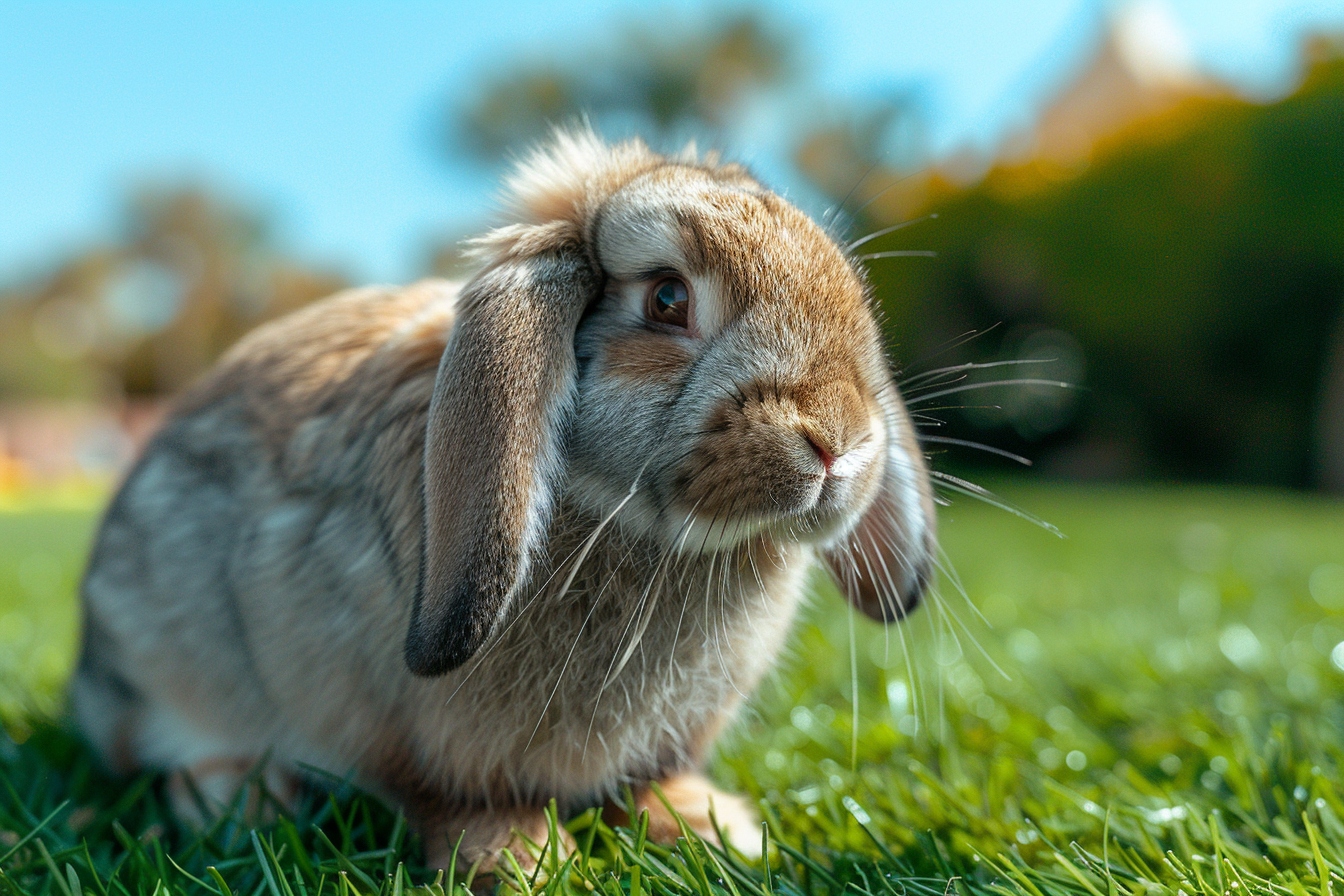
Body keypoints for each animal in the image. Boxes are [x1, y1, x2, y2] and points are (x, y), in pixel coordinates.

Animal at [71, 130, 937, 874]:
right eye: (667, 299)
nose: (839, 440)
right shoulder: (404, 734)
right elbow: (446, 799)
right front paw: (520, 860)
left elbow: (650, 781)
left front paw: (715, 829)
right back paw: (243, 799)